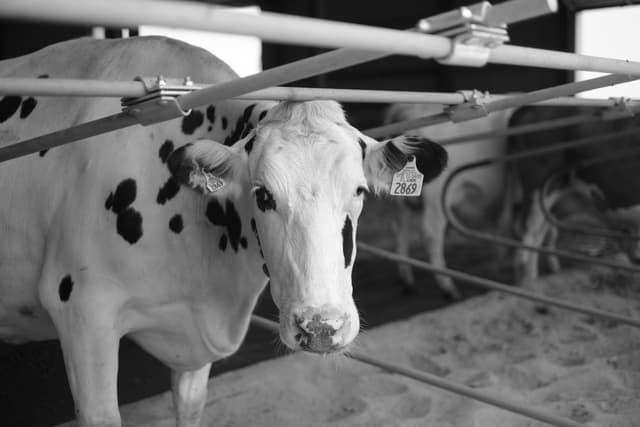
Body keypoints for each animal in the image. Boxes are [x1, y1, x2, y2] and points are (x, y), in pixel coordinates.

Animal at [382, 104, 512, 300]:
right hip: (436, 196)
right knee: (431, 234)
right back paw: (448, 287)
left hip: (399, 199)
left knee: (400, 229)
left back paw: (407, 281)